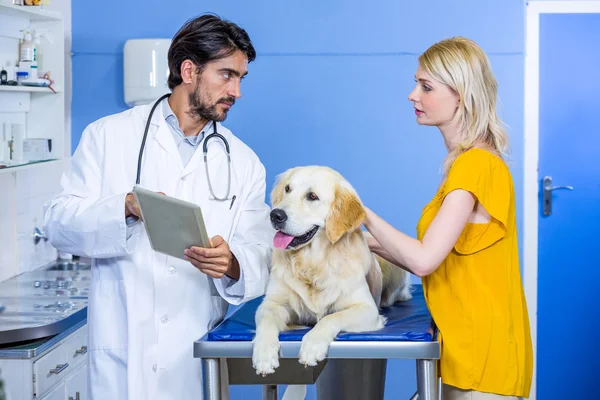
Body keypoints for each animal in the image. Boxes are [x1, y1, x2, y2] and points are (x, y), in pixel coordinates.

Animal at [250, 165, 412, 376]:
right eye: (287, 189)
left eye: (312, 196)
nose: (276, 215)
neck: (313, 264)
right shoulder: (272, 303)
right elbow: (266, 321)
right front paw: (263, 352)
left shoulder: (366, 308)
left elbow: (332, 317)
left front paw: (312, 346)